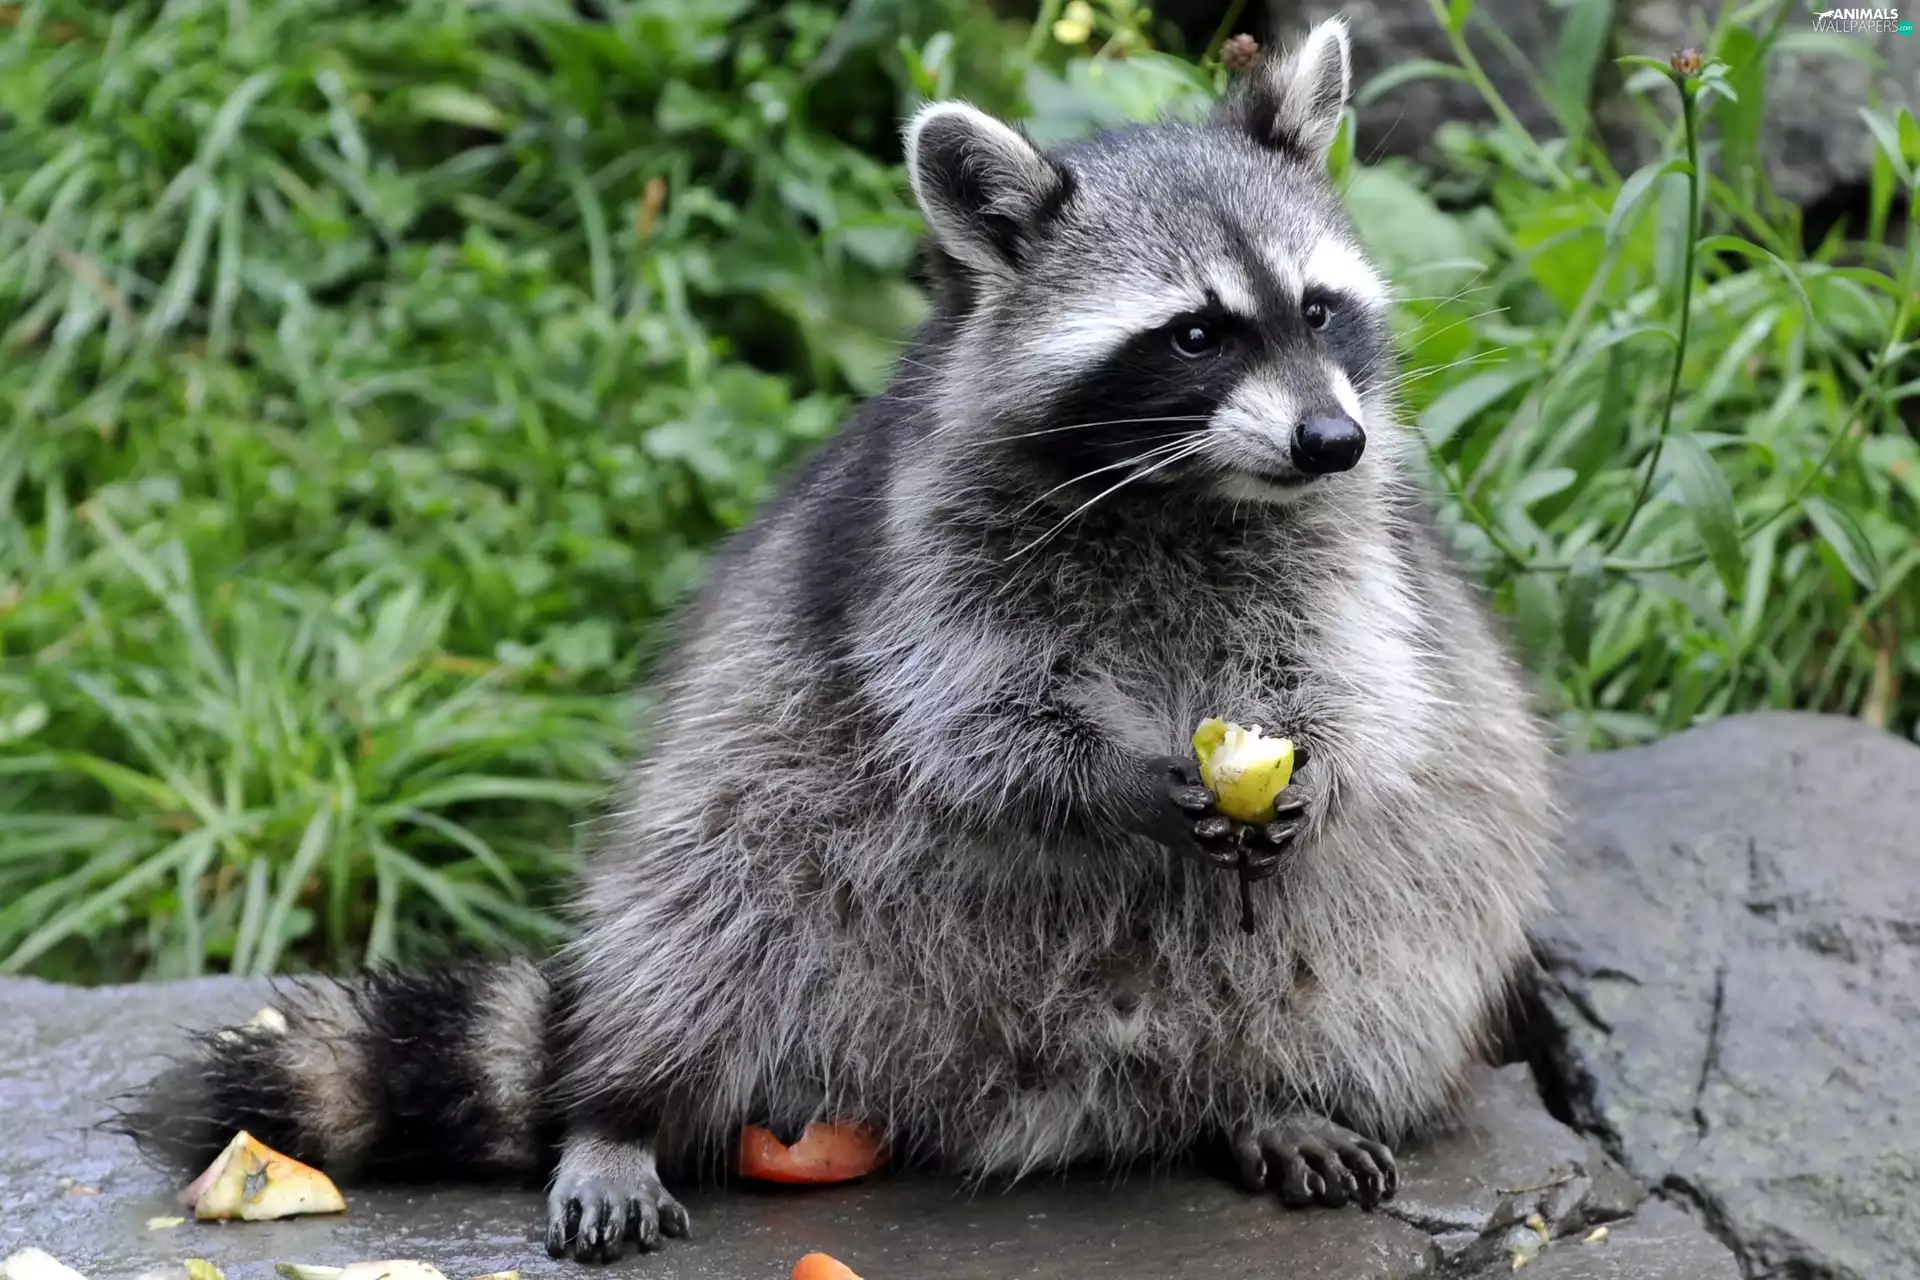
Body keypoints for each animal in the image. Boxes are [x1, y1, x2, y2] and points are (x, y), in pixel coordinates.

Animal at [118, 18, 1558, 1266]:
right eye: (1197, 333)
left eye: (1317, 310)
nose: (1333, 439)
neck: (1193, 490)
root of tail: (1004, 1092)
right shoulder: (928, 546)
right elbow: (973, 719)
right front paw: (1116, 777)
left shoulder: (1349, 554)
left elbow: (1373, 686)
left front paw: (1314, 765)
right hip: (764, 841)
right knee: (703, 912)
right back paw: (621, 1109)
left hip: (1376, 923)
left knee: (1379, 931)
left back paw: (1270, 1090)